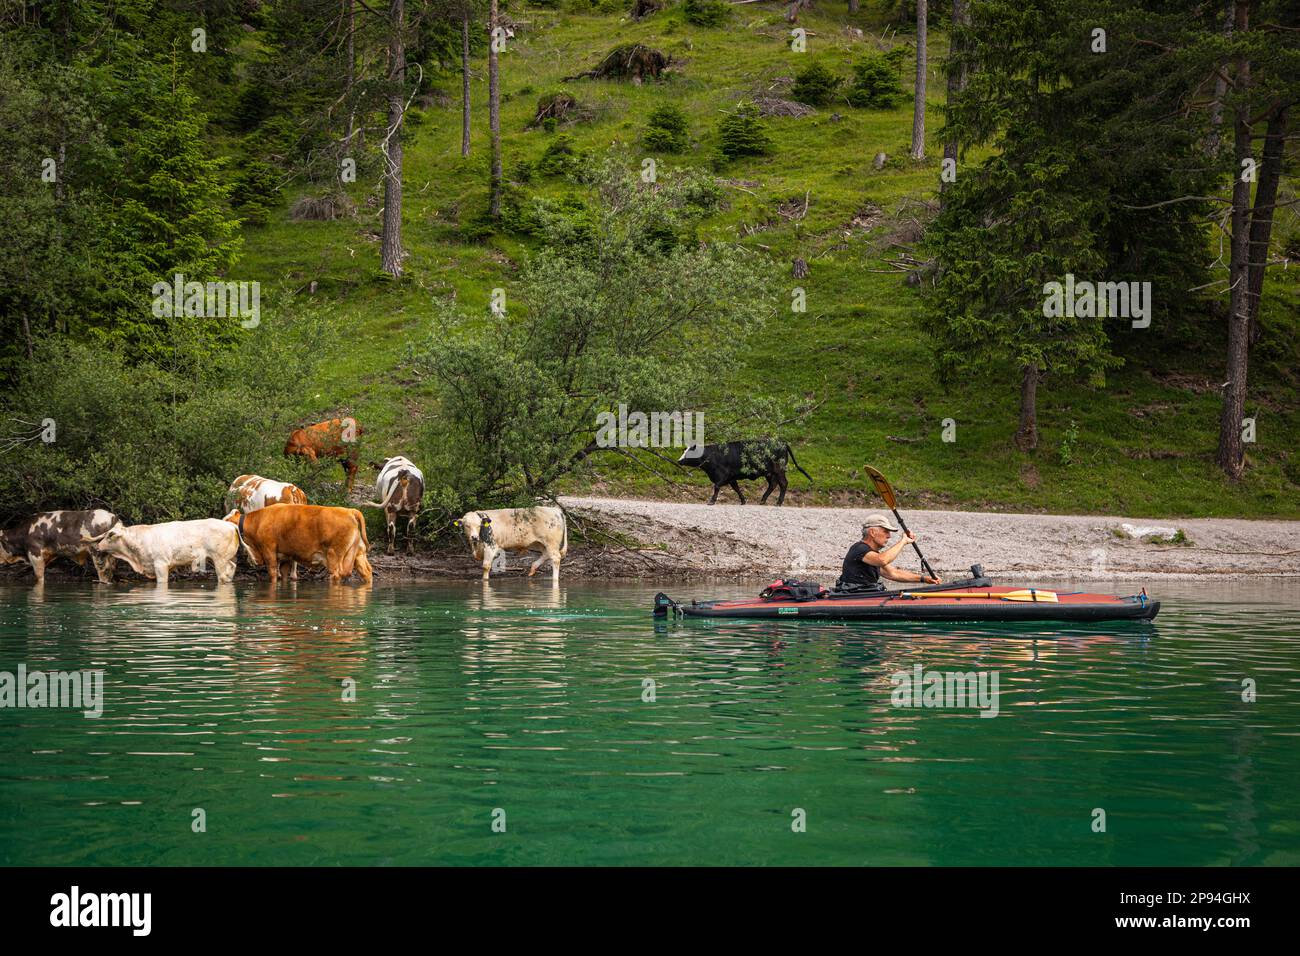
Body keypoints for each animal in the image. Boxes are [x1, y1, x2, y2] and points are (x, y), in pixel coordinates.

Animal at [84, 519, 240, 585]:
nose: (98, 546)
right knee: (231, 569)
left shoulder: (161, 565)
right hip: (228, 558)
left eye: (110, 535)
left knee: (222, 576)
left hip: (219, 559)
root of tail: (230, 524)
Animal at [226, 504, 372, 585]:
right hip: (358, 553)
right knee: (367, 572)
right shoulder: (286, 556)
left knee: (337, 575)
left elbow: (273, 574)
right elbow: (284, 575)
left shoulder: (268, 550)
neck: (258, 521)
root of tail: (349, 511)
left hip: (334, 555)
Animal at [677, 439, 812, 505]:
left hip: (779, 470)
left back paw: (778, 502)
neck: (713, 456)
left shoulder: (722, 475)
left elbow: (716, 487)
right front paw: (743, 500)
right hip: (769, 472)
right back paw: (763, 500)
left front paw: (712, 501)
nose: (679, 460)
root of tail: (782, 443)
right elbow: (736, 488)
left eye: (689, 452)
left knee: (783, 483)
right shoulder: (731, 477)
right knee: (773, 484)